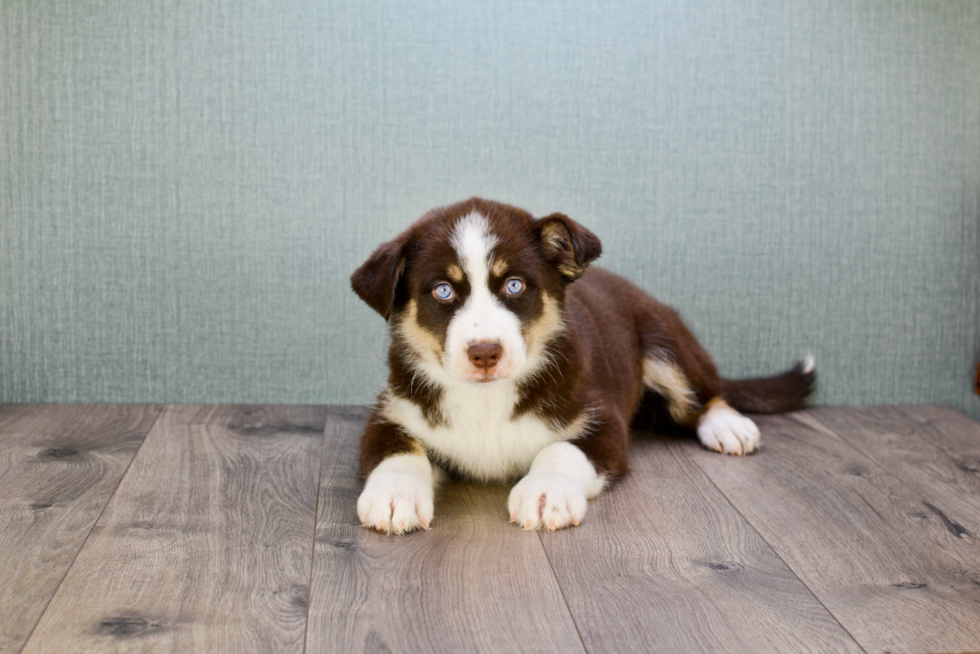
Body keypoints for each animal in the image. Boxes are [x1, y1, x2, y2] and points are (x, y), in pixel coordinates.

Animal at [348, 199, 816, 532]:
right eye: (443, 291)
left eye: (514, 285)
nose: (484, 352)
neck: (486, 400)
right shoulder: (391, 411)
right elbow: (397, 451)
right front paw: (394, 497)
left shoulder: (602, 419)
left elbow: (560, 450)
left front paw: (545, 494)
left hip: (666, 342)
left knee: (708, 392)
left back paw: (728, 426)